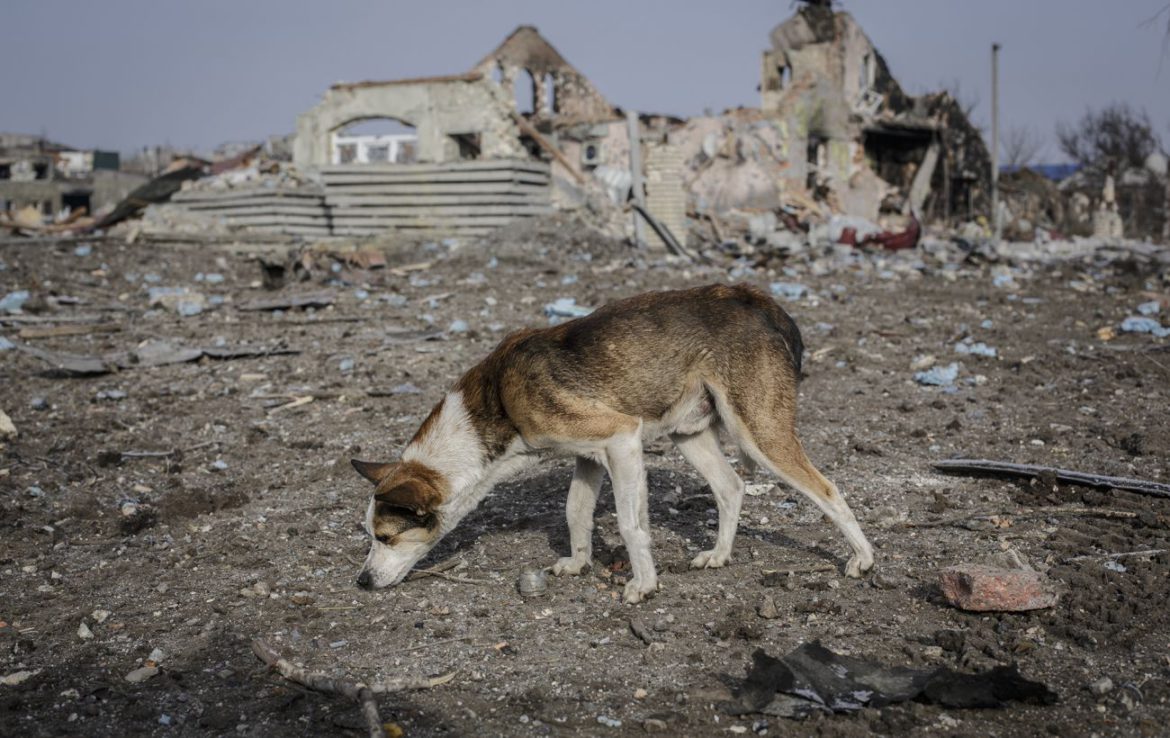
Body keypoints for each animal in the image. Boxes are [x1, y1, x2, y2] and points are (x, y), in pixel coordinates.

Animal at [351, 281, 875, 598]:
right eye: (370, 536)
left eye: (386, 537)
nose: (362, 581)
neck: (495, 404)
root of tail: (754, 298)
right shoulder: (590, 457)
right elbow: (576, 512)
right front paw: (580, 563)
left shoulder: (621, 439)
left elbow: (630, 524)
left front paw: (643, 585)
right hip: (690, 434)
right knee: (730, 487)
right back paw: (720, 555)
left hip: (761, 432)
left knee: (829, 491)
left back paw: (863, 559)